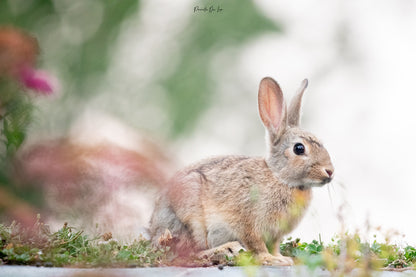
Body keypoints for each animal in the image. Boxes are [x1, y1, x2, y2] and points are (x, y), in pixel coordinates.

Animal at [150, 76, 334, 266]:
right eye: (299, 148)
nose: (329, 171)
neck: (280, 178)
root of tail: (154, 230)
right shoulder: (247, 223)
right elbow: (256, 244)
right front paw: (269, 259)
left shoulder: (275, 234)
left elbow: (274, 246)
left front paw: (282, 258)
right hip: (192, 221)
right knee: (188, 253)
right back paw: (228, 249)